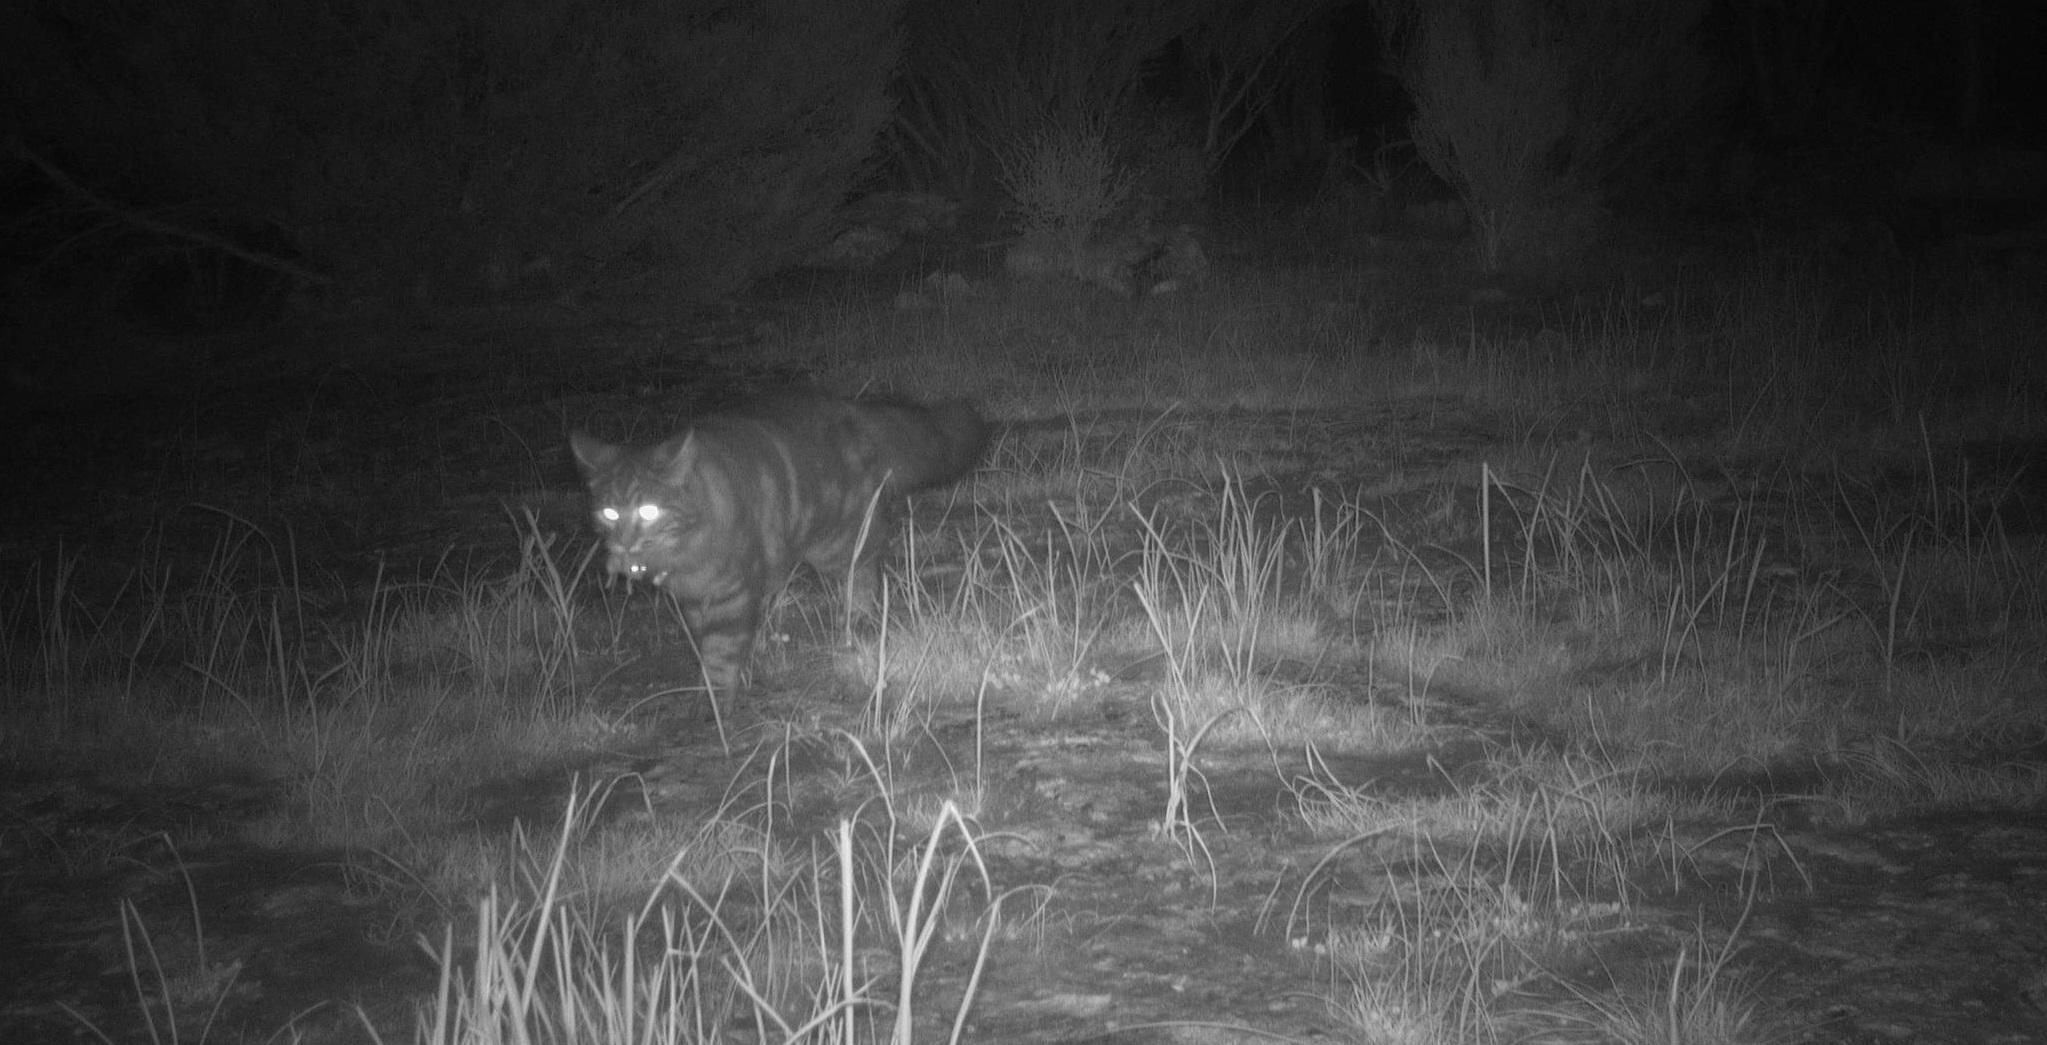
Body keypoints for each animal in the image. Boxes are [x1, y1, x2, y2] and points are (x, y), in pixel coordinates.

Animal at [573, 392, 986, 695]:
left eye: (648, 510)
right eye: (609, 513)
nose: (625, 543)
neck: (685, 548)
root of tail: (848, 408)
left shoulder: (733, 589)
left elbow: (722, 650)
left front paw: (718, 700)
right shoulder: (694, 599)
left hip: (835, 540)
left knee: (867, 565)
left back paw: (856, 617)